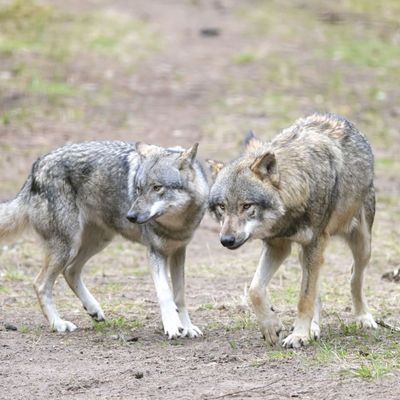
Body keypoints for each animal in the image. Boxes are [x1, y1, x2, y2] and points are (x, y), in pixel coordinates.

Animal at [1, 140, 209, 338]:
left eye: (157, 187)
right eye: (138, 189)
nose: (130, 216)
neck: (176, 224)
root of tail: (37, 166)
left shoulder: (178, 252)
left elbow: (179, 296)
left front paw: (187, 327)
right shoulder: (155, 253)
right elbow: (165, 293)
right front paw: (172, 326)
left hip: (97, 242)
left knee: (70, 271)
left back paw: (93, 309)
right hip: (68, 247)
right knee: (40, 284)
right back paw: (58, 324)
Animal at [208, 112, 376, 346]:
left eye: (246, 206)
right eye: (222, 207)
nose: (227, 240)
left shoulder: (314, 243)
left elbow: (304, 298)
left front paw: (298, 335)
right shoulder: (278, 246)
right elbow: (255, 290)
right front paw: (272, 327)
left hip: (362, 246)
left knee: (354, 277)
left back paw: (363, 317)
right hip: (306, 253)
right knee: (318, 290)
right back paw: (314, 328)